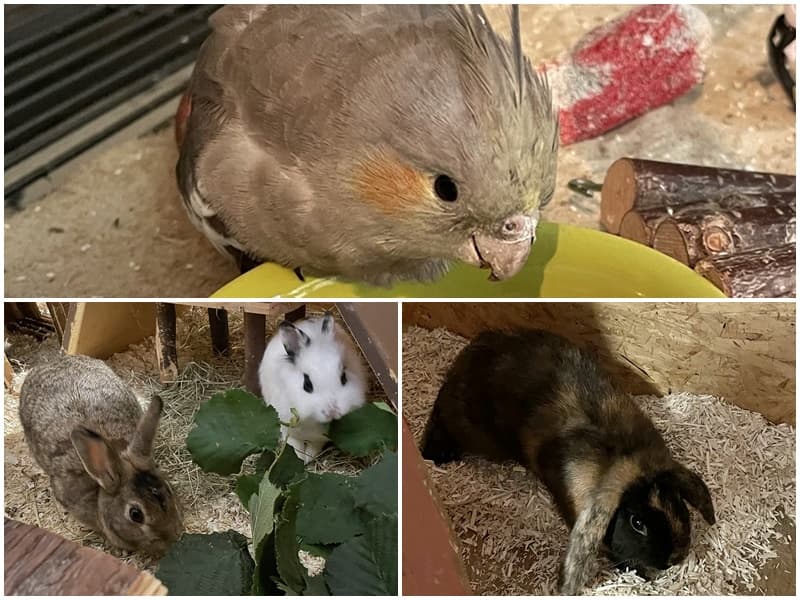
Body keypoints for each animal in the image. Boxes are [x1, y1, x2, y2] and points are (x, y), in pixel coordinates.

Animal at [259, 312, 368, 463]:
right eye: (307, 385)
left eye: (344, 377)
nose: (333, 412)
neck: (312, 420)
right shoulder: (286, 427)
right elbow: (294, 445)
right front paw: (300, 458)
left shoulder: (319, 438)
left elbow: (314, 446)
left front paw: (308, 458)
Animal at [421, 328, 715, 595]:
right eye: (637, 523)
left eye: (677, 501)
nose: (673, 560)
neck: (621, 453)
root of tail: (468, 354)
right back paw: (434, 454)